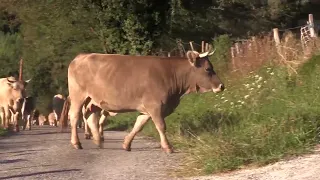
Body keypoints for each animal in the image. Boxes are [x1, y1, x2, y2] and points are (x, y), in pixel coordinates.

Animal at [66, 46, 224, 153]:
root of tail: (81, 56)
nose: (221, 86)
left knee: (91, 117)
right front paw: (168, 147)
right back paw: (76, 143)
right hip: (78, 95)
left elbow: (138, 125)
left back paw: (98, 141)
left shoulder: (148, 109)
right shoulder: (155, 106)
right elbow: (161, 126)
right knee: (74, 116)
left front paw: (126, 144)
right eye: (208, 69)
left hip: (94, 100)